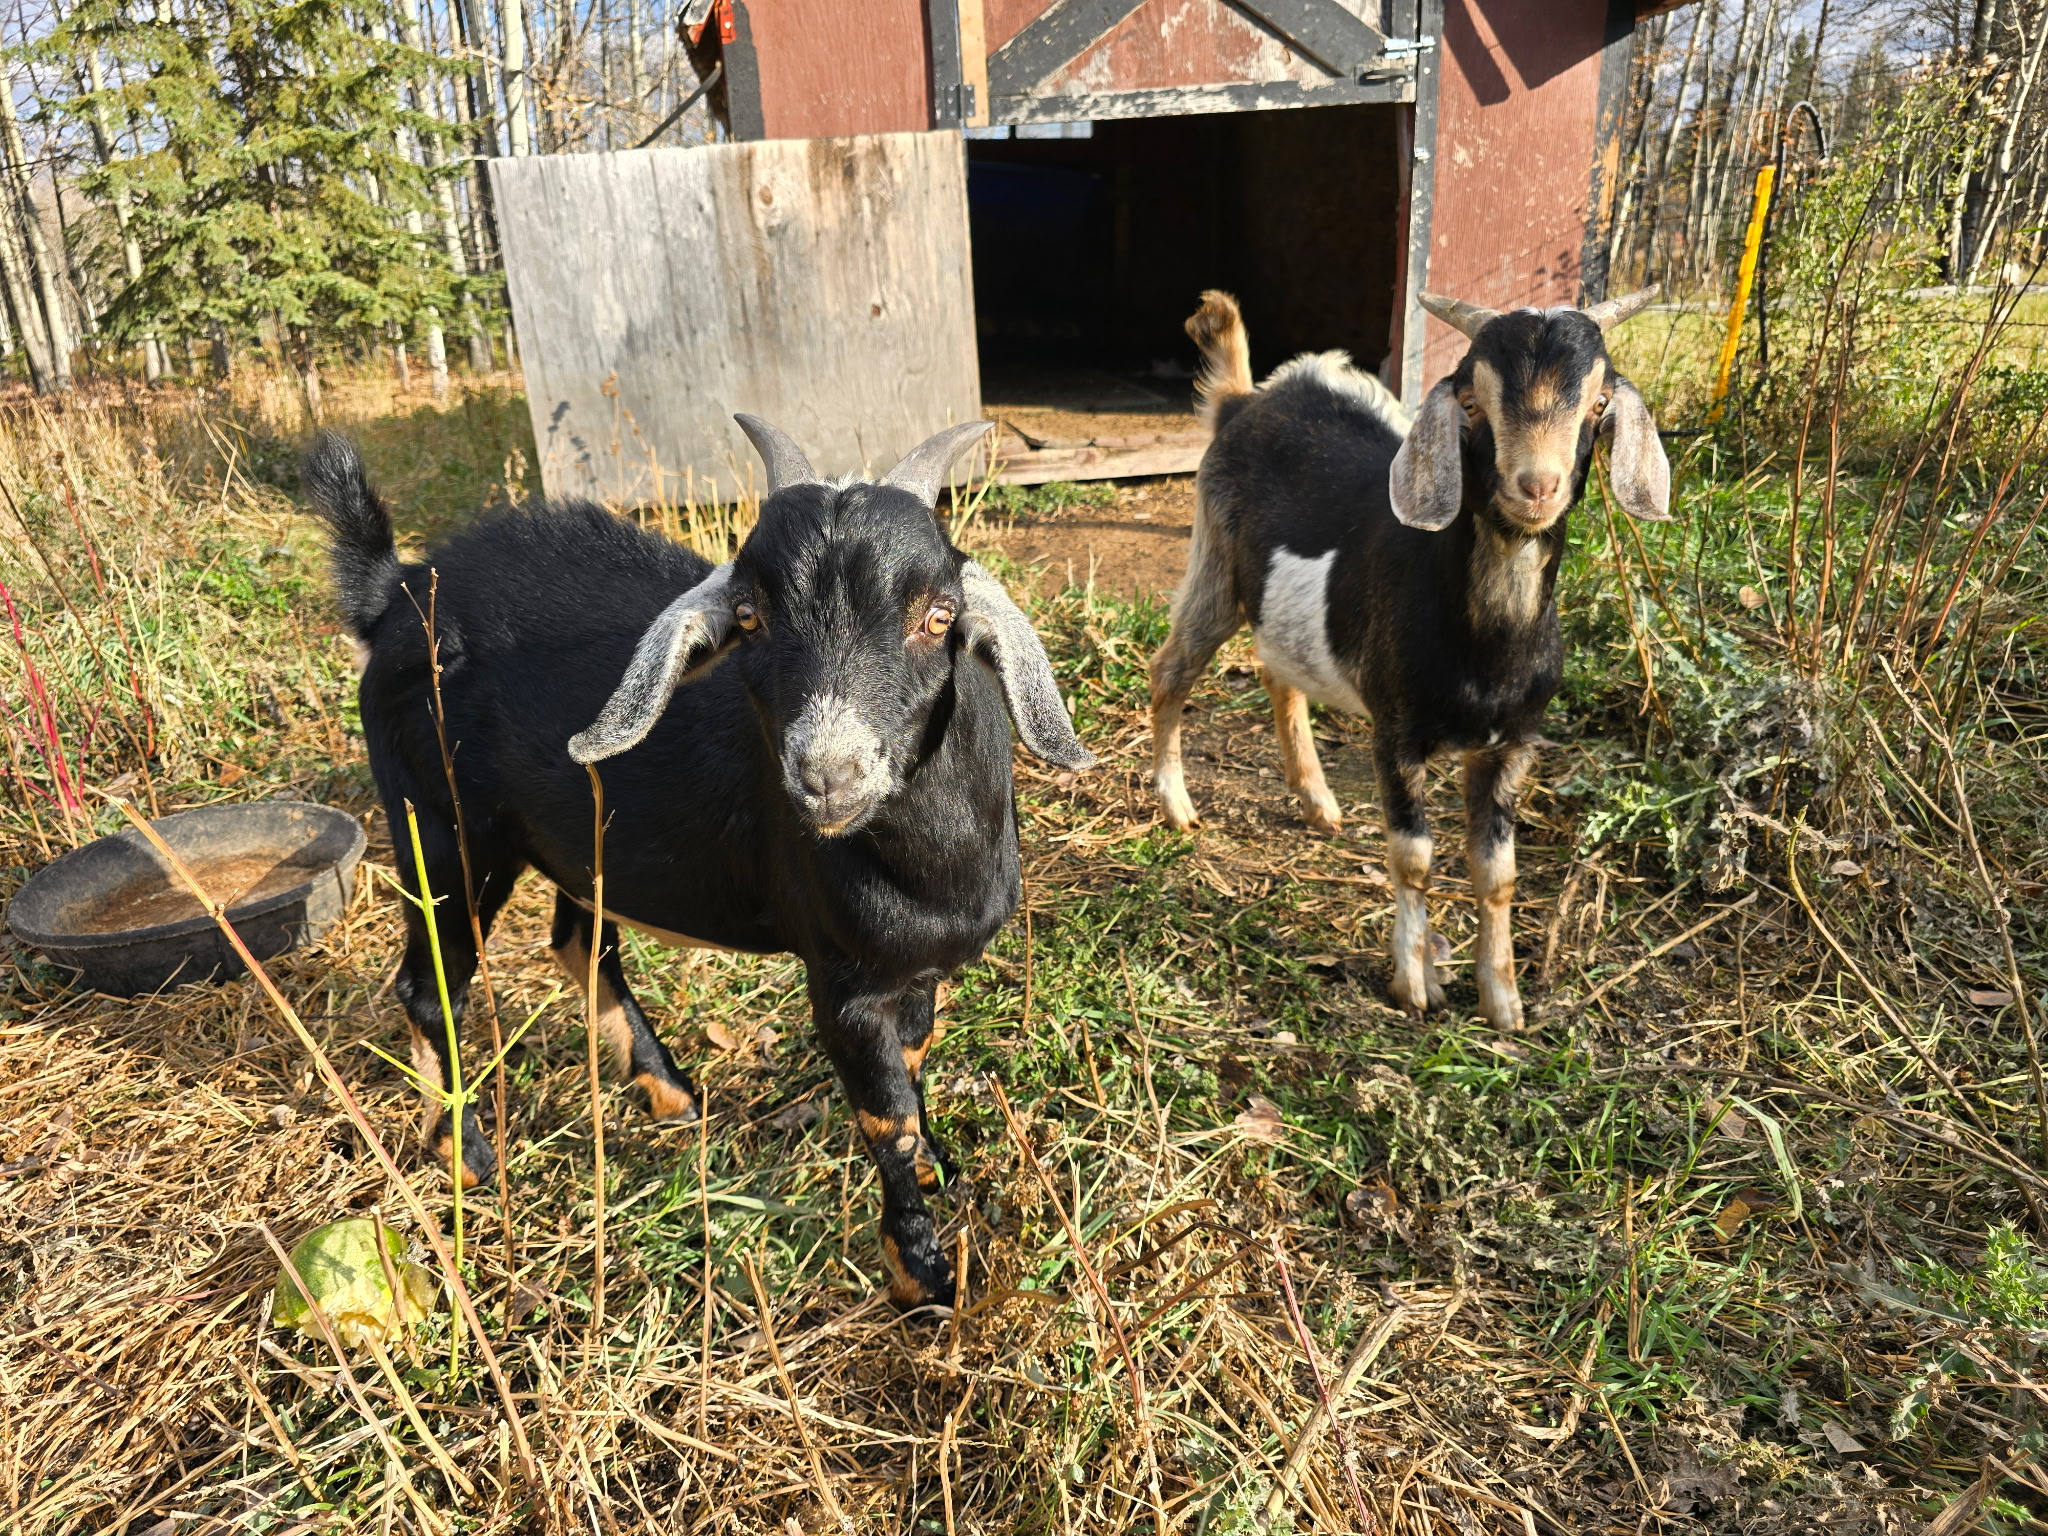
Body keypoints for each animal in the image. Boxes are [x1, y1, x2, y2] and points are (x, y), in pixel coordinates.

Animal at [304, 418, 1094, 1308]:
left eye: (939, 616)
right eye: (748, 616)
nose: (827, 775)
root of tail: (395, 592)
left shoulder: (917, 969)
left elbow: (915, 1063)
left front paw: (935, 1167)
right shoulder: (843, 980)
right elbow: (883, 1114)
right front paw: (919, 1271)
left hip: (581, 844)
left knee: (580, 944)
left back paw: (669, 1092)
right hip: (440, 828)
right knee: (432, 980)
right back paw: (463, 1149)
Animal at [1149, 288, 1669, 1029]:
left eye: (1599, 403)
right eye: (1472, 401)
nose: (1535, 487)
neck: (1485, 650)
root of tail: (1243, 401)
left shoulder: (1513, 744)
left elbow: (1498, 873)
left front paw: (1503, 1001)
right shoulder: (1395, 734)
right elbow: (1414, 856)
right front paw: (1413, 983)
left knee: (1280, 673)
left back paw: (1317, 799)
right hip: (1214, 561)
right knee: (1172, 671)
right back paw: (1177, 806)